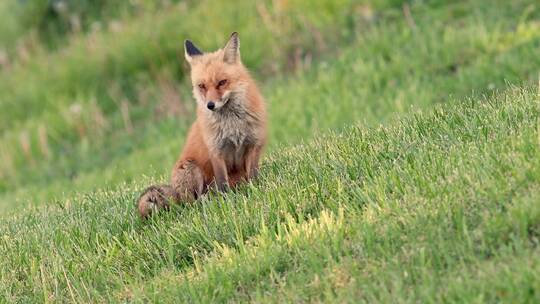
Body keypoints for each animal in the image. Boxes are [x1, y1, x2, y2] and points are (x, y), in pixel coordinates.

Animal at [138, 32, 266, 218]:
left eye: (222, 82)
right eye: (202, 86)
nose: (210, 105)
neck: (232, 124)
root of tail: (175, 192)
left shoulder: (254, 144)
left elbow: (253, 175)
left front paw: (256, 189)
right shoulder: (216, 150)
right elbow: (223, 183)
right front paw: (227, 202)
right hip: (191, 169)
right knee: (190, 204)